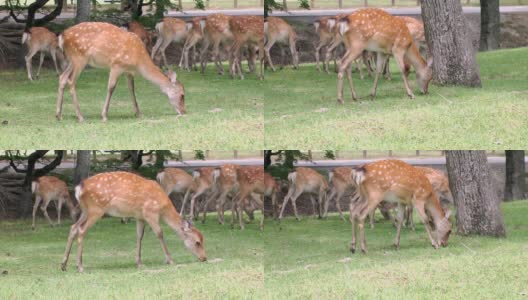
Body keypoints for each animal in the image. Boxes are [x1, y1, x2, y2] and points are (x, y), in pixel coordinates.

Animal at [56, 22, 185, 123]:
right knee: (71, 80)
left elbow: (132, 89)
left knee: (62, 77)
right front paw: (104, 116)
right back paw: (80, 117)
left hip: (72, 60)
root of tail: (62, 36)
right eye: (182, 94)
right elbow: (111, 87)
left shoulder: (128, 71)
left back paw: (58, 115)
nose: (184, 111)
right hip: (79, 57)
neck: (138, 61)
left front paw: (138, 113)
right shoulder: (117, 64)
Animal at [59, 171, 204, 272]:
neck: (163, 208)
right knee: (81, 230)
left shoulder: (139, 216)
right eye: (197, 242)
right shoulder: (150, 212)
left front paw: (139, 262)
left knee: (73, 227)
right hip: (96, 209)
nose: (204, 258)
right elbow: (159, 233)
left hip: (85, 210)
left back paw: (64, 265)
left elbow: (139, 236)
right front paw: (170, 260)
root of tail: (78, 189)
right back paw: (80, 266)